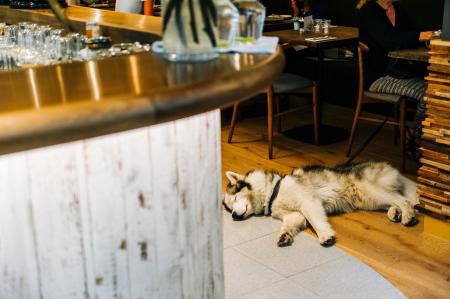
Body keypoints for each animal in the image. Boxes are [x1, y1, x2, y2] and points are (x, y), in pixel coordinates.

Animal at [224, 163, 418, 247]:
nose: (233, 216)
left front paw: (325, 235)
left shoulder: (308, 203)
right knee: (395, 199)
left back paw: (407, 215)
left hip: (370, 191)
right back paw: (395, 213)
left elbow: (316, 222)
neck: (274, 192)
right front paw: (284, 235)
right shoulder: (293, 214)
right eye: (229, 208)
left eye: (234, 199)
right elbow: (289, 224)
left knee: (403, 199)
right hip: (369, 200)